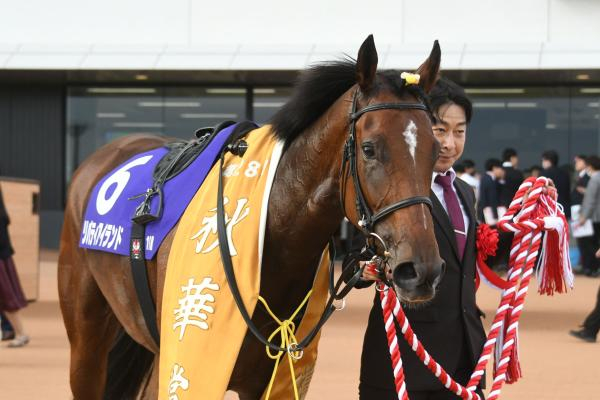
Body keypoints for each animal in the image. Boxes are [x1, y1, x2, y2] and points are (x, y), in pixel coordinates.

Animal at [57, 36, 446, 398]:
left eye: (435, 149)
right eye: (369, 149)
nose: (421, 269)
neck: (271, 236)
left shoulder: (266, 378)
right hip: (88, 339)